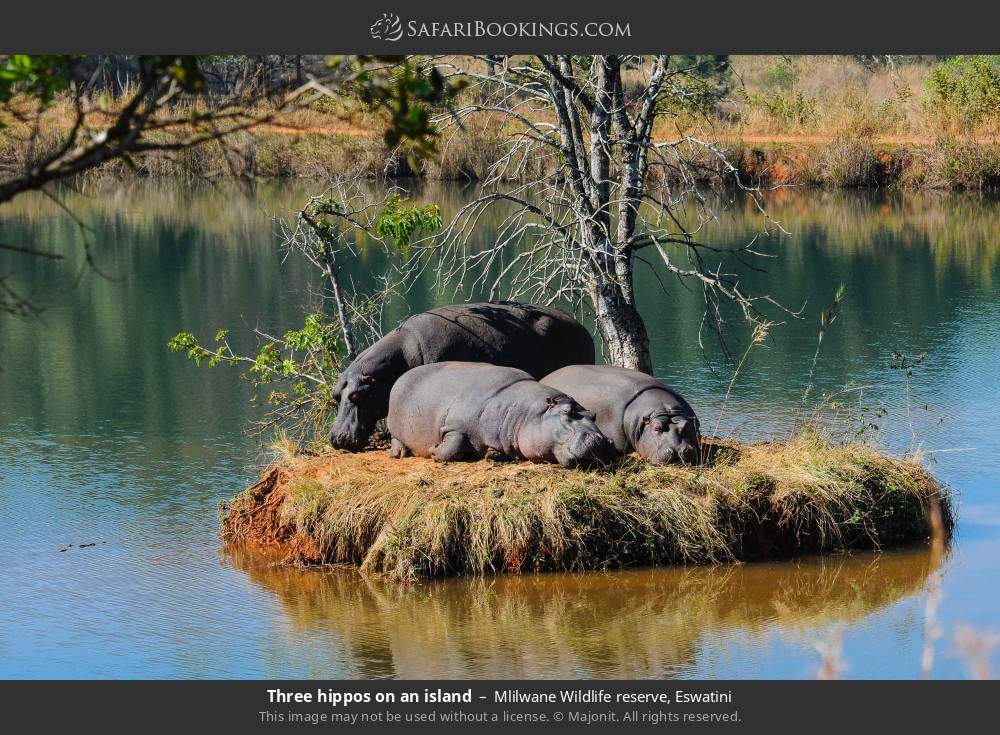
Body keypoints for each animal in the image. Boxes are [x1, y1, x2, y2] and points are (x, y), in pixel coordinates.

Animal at [384, 360, 612, 466]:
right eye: (566, 412)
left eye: (593, 415)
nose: (600, 440)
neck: (525, 413)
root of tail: (403, 375)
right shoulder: (456, 426)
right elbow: (451, 449)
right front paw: (434, 449)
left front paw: (492, 454)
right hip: (395, 424)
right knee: (396, 438)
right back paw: (399, 453)